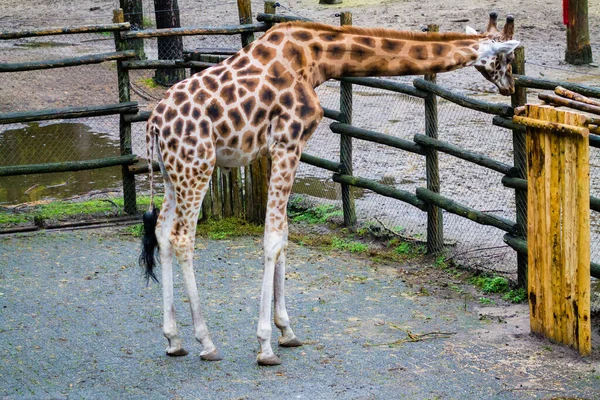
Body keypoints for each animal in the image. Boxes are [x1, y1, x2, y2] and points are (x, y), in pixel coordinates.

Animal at [141, 12, 520, 366]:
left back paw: (173, 339)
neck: (317, 58)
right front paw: (265, 346)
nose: (510, 87)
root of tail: (154, 124)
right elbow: (272, 238)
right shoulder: (287, 142)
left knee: (161, 232)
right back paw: (206, 343)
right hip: (197, 166)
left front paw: (287, 331)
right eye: (507, 57)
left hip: (173, 172)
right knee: (182, 238)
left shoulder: (281, 149)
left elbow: (284, 235)